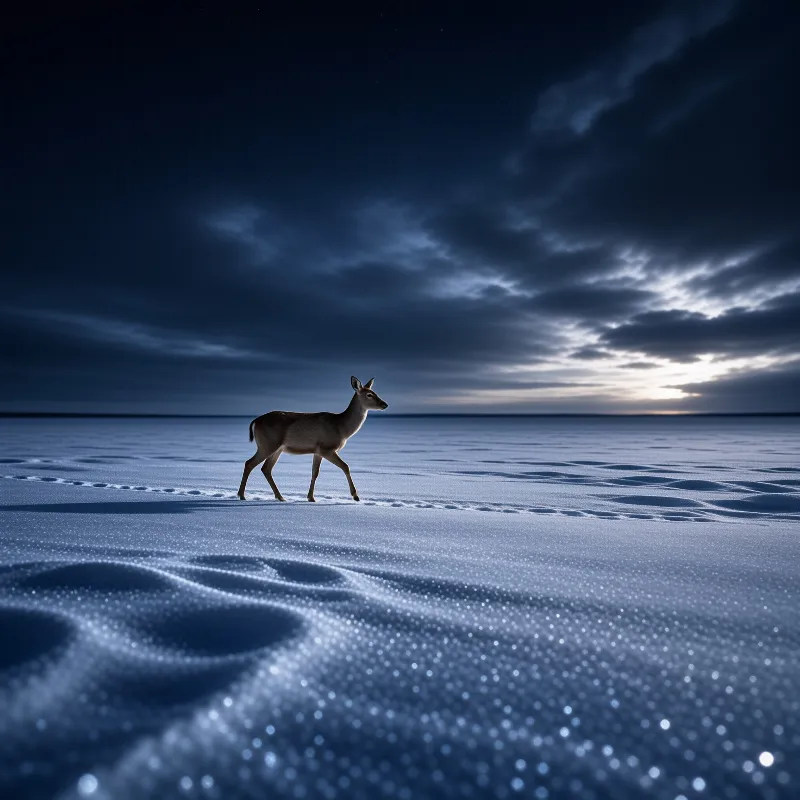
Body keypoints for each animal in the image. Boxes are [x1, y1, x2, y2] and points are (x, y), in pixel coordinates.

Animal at [237, 376, 389, 502]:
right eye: (369, 395)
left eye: (375, 392)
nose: (384, 404)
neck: (341, 427)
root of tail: (256, 421)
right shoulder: (327, 448)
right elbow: (346, 466)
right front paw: (355, 496)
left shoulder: (318, 451)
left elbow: (315, 472)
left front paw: (310, 497)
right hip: (267, 444)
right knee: (249, 463)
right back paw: (242, 495)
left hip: (277, 448)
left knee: (266, 468)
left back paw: (280, 497)